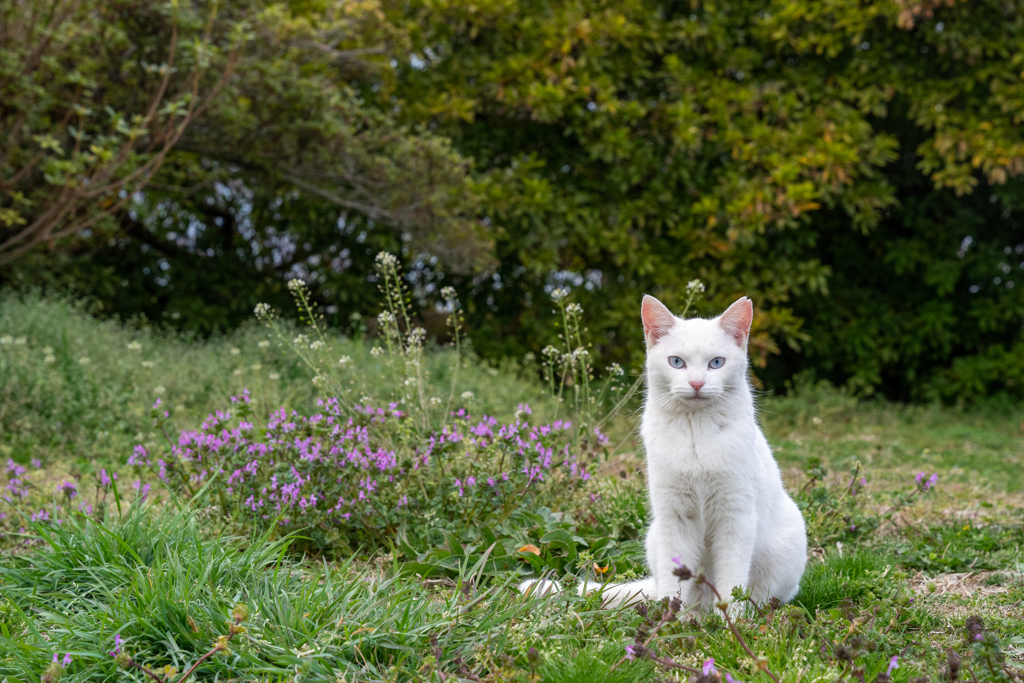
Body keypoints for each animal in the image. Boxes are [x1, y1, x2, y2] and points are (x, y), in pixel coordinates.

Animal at [520, 294, 806, 610]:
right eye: (677, 362)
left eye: (716, 363)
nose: (696, 383)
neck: (695, 433)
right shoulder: (675, 518)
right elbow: (674, 586)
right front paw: (670, 621)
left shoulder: (735, 517)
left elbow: (731, 583)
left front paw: (731, 622)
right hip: (655, 535)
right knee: (670, 592)